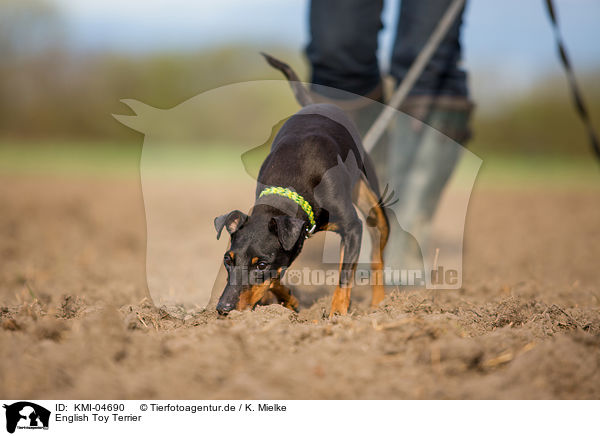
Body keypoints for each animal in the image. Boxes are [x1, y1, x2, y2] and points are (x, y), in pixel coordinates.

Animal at [216, 54, 390, 316]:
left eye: (262, 264)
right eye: (228, 259)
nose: (223, 308)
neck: (291, 185)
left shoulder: (352, 229)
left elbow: (344, 277)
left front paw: (336, 314)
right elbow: (276, 278)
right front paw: (289, 301)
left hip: (371, 200)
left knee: (378, 252)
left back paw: (380, 303)